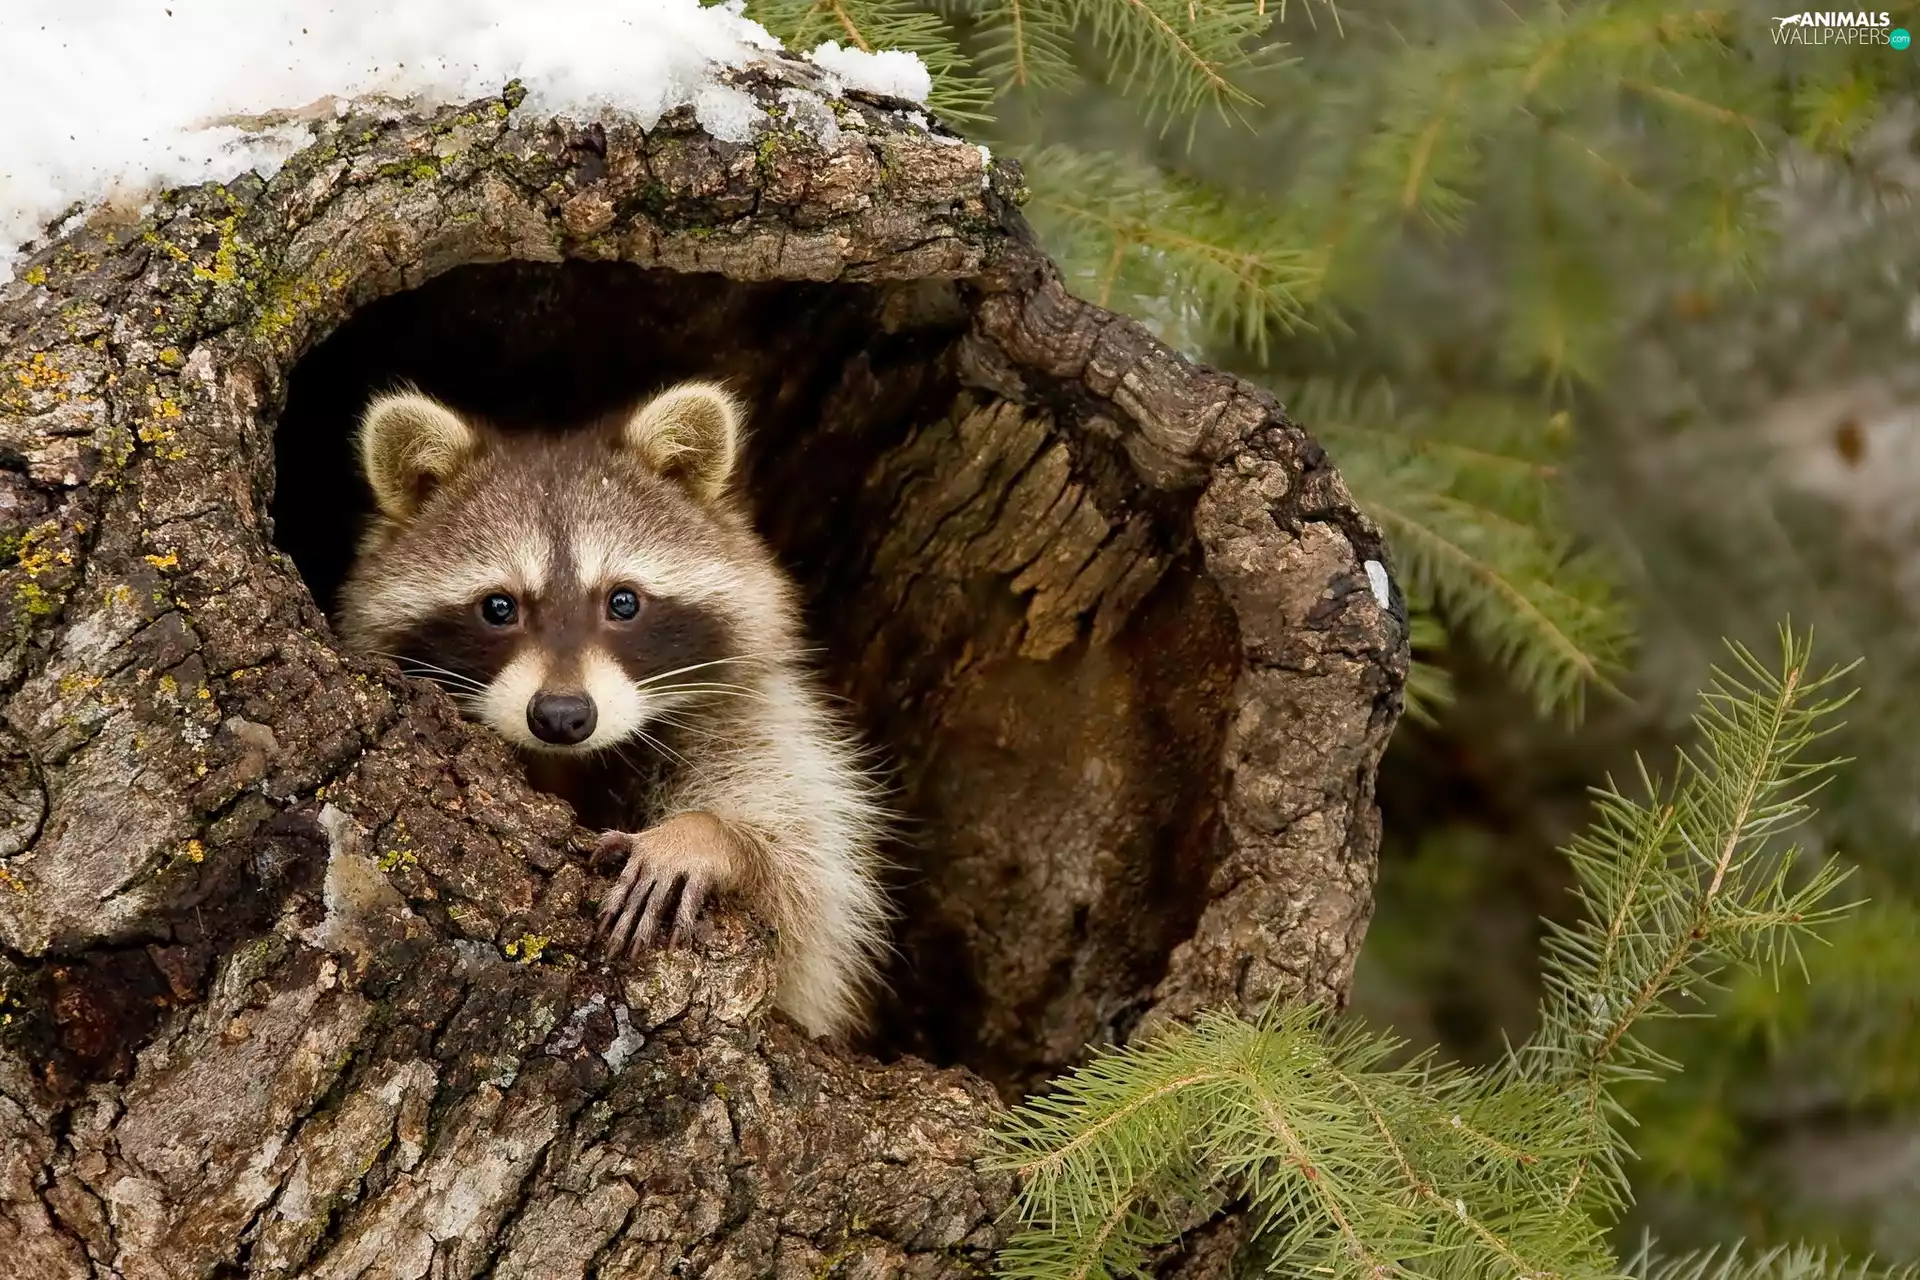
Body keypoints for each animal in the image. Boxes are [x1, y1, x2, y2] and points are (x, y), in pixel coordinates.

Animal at [336, 381, 890, 1039]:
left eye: (623, 601)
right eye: (499, 607)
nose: (561, 715)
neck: (570, 761)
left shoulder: (755, 715)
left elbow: (806, 882)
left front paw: (708, 834)